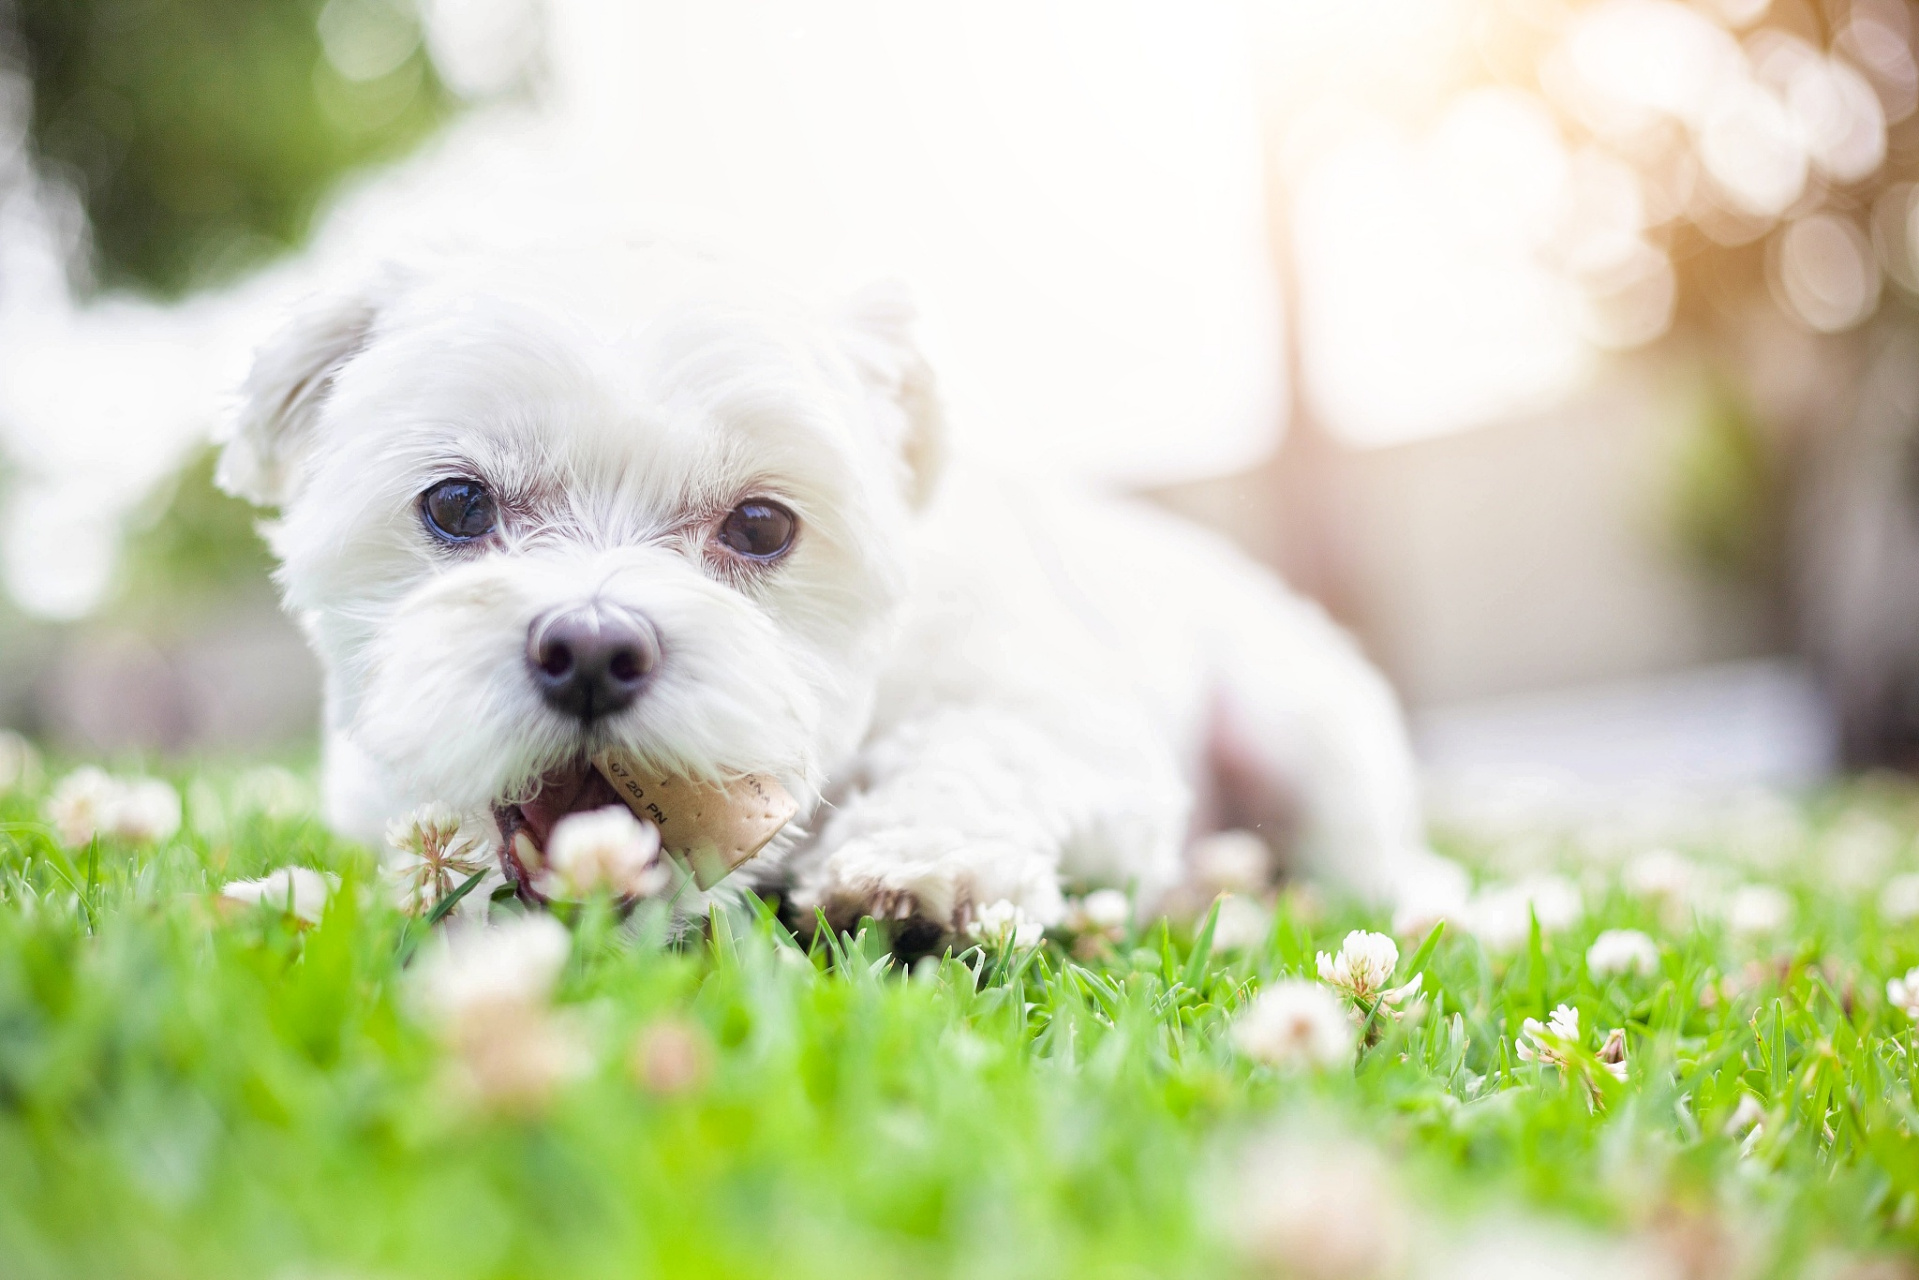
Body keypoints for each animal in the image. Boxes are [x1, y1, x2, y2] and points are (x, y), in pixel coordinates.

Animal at [217, 245, 1458, 948]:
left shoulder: (1076, 729)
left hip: (1301, 728)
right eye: (457, 505)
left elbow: (984, 749)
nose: (591, 646)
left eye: (762, 525)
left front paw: (918, 868)